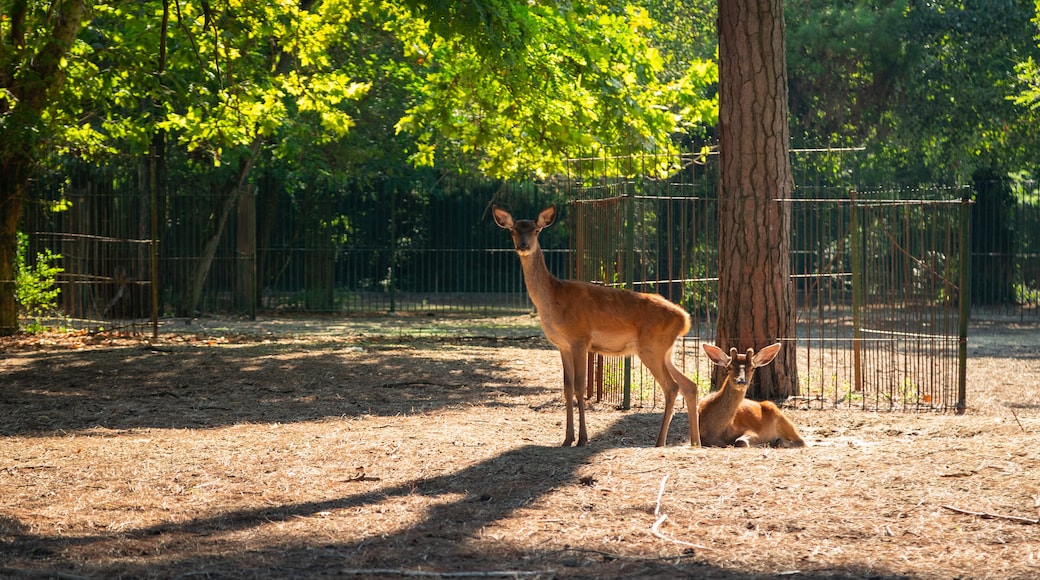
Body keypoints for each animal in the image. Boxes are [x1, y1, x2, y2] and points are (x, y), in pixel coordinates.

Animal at [490, 205, 703, 451]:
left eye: (535, 230)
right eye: (513, 230)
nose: (523, 246)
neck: (553, 300)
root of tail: (684, 318)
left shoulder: (579, 339)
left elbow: (580, 387)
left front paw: (582, 439)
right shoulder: (562, 345)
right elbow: (567, 388)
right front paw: (567, 439)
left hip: (652, 347)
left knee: (672, 387)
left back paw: (659, 442)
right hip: (665, 350)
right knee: (689, 385)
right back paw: (695, 443)